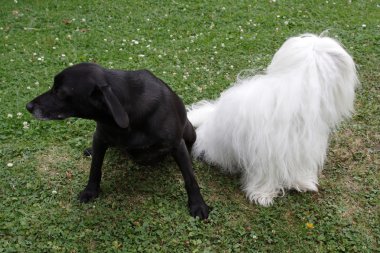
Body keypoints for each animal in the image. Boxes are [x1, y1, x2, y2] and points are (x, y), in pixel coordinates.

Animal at [26, 63, 211, 219]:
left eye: (59, 92)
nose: (28, 106)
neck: (129, 109)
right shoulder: (100, 138)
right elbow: (95, 168)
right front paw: (91, 191)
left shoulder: (176, 144)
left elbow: (190, 178)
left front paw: (198, 204)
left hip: (189, 132)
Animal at [188, 33, 360, 206]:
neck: (297, 90)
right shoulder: (265, 151)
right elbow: (265, 175)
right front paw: (262, 195)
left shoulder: (300, 147)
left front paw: (302, 183)